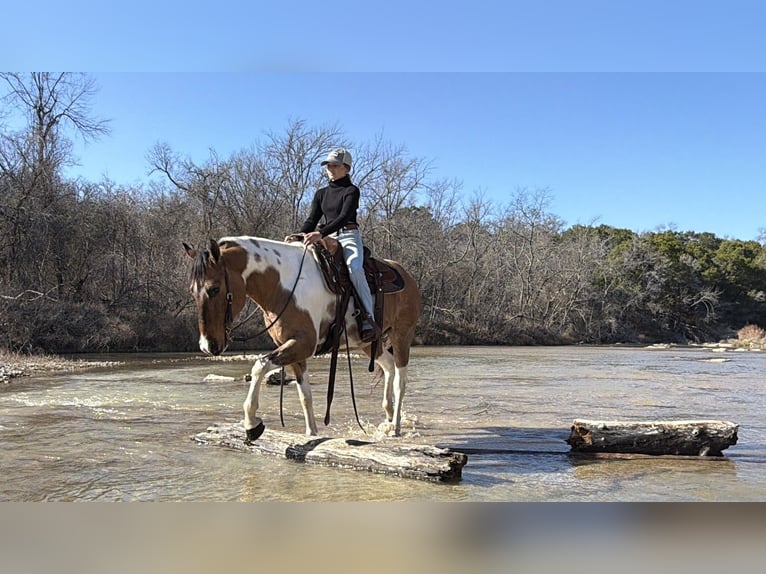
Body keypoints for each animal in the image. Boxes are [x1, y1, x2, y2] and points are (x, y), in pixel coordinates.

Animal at [183, 236, 422, 441]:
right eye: (192, 291)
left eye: (214, 289)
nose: (208, 346)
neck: (284, 285)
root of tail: (405, 274)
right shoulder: (292, 348)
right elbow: (304, 394)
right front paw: (311, 433)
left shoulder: (303, 344)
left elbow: (259, 366)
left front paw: (252, 424)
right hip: (367, 343)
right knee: (389, 367)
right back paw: (388, 416)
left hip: (402, 335)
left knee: (401, 380)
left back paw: (396, 427)